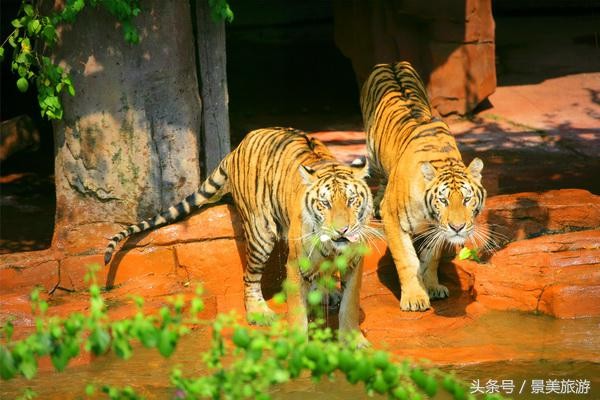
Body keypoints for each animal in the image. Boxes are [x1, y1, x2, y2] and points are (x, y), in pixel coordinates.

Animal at [104, 126, 376, 342]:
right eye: (324, 204)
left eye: (352, 200)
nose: (341, 230)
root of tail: (238, 146)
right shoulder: (296, 261)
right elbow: (297, 308)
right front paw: (299, 343)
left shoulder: (354, 261)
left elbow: (350, 305)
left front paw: (354, 341)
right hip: (261, 232)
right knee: (250, 277)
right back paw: (258, 312)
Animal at [358, 61, 486, 312]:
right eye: (443, 200)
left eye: (467, 199)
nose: (458, 227)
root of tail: (391, 62)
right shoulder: (393, 218)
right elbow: (407, 260)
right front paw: (415, 298)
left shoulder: (436, 229)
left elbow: (431, 258)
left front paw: (433, 286)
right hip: (373, 154)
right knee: (379, 178)